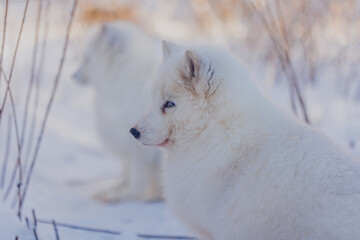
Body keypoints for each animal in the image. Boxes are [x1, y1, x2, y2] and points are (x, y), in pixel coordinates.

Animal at [73, 22, 162, 202]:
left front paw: (126, 195)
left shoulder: (140, 146)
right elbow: (126, 173)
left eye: (87, 59)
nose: (74, 75)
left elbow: (137, 176)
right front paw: (116, 188)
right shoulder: (125, 140)